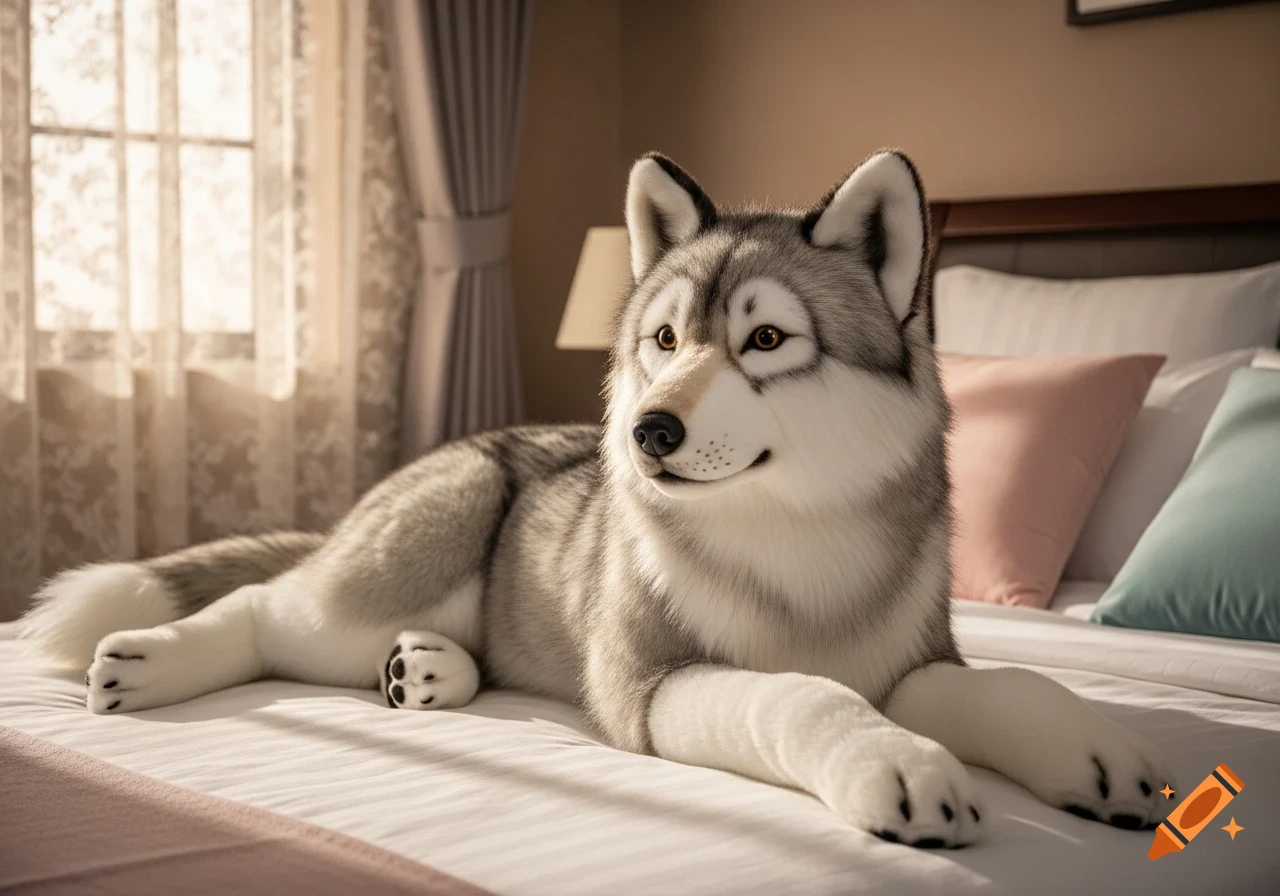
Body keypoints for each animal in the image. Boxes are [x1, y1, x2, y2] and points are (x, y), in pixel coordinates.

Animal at [22, 151, 1174, 848]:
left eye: (766, 339)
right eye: (663, 339)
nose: (646, 431)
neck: (794, 538)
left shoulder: (916, 659)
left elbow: (1011, 682)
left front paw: (1093, 753)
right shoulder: (650, 685)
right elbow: (801, 694)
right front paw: (891, 762)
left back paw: (428, 668)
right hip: (405, 553)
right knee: (268, 608)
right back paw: (150, 658)